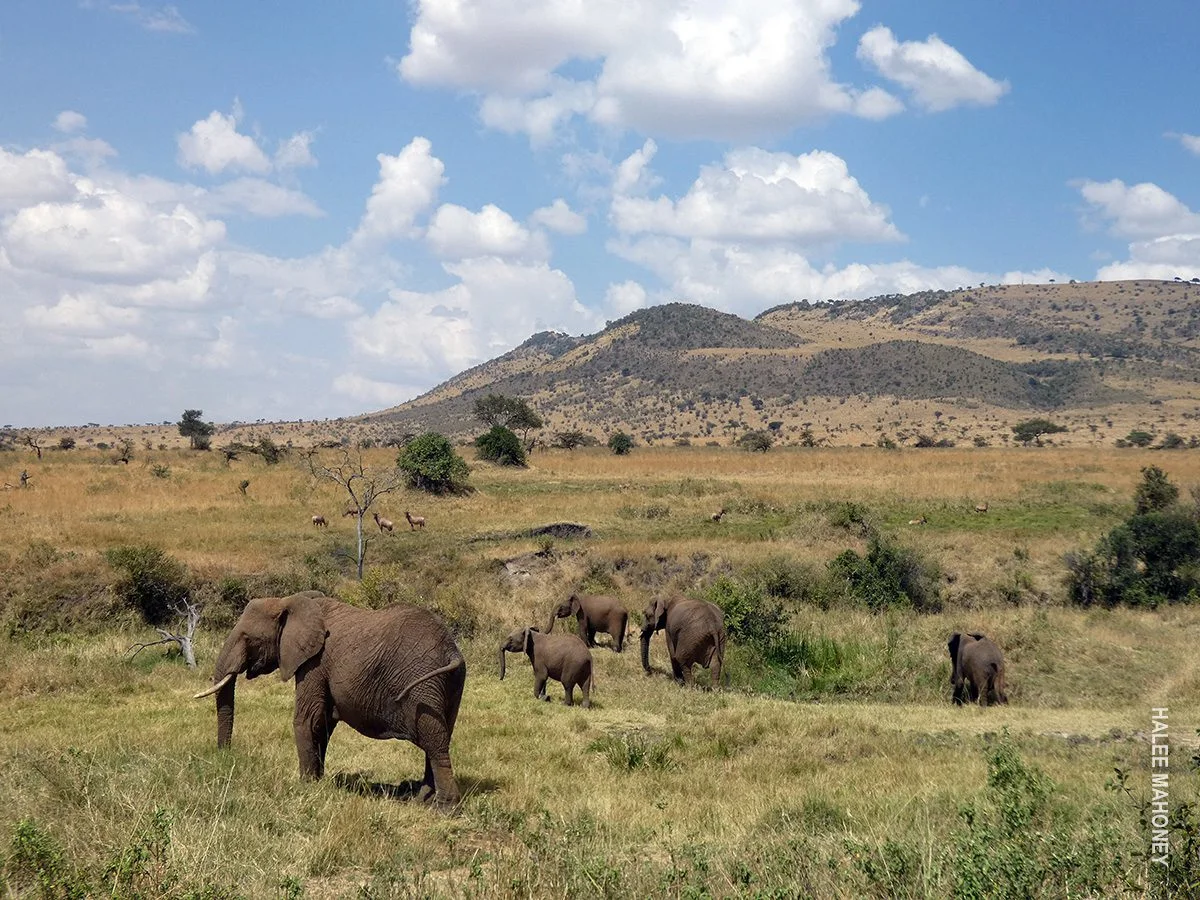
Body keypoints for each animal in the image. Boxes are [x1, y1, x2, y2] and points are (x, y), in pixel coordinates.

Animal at [193, 590, 466, 805]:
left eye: (249, 639)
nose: (225, 756)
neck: (290, 601)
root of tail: (451, 650)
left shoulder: (314, 662)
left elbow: (307, 719)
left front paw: (304, 786)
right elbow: (322, 723)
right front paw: (318, 781)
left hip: (424, 685)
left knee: (434, 739)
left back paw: (445, 807)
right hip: (452, 684)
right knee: (440, 735)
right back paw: (423, 799)